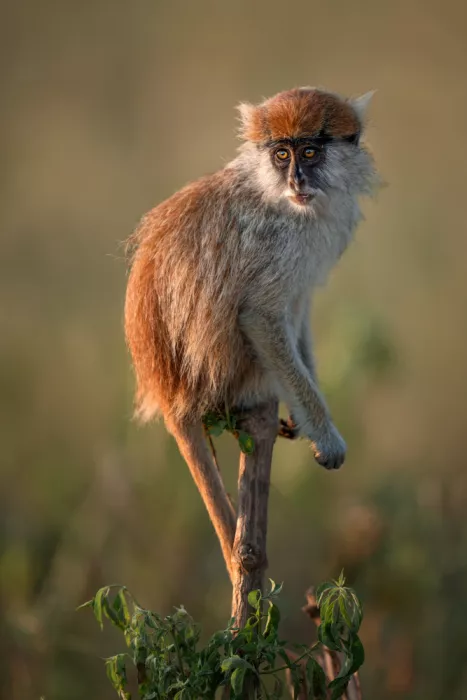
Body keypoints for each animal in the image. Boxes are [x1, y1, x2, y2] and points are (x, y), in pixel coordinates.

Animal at [124, 87, 377, 561]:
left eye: (310, 152)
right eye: (281, 154)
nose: (297, 181)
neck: (271, 190)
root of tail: (170, 394)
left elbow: (298, 305)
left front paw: (308, 413)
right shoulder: (280, 241)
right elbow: (261, 315)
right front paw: (325, 434)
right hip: (232, 373)